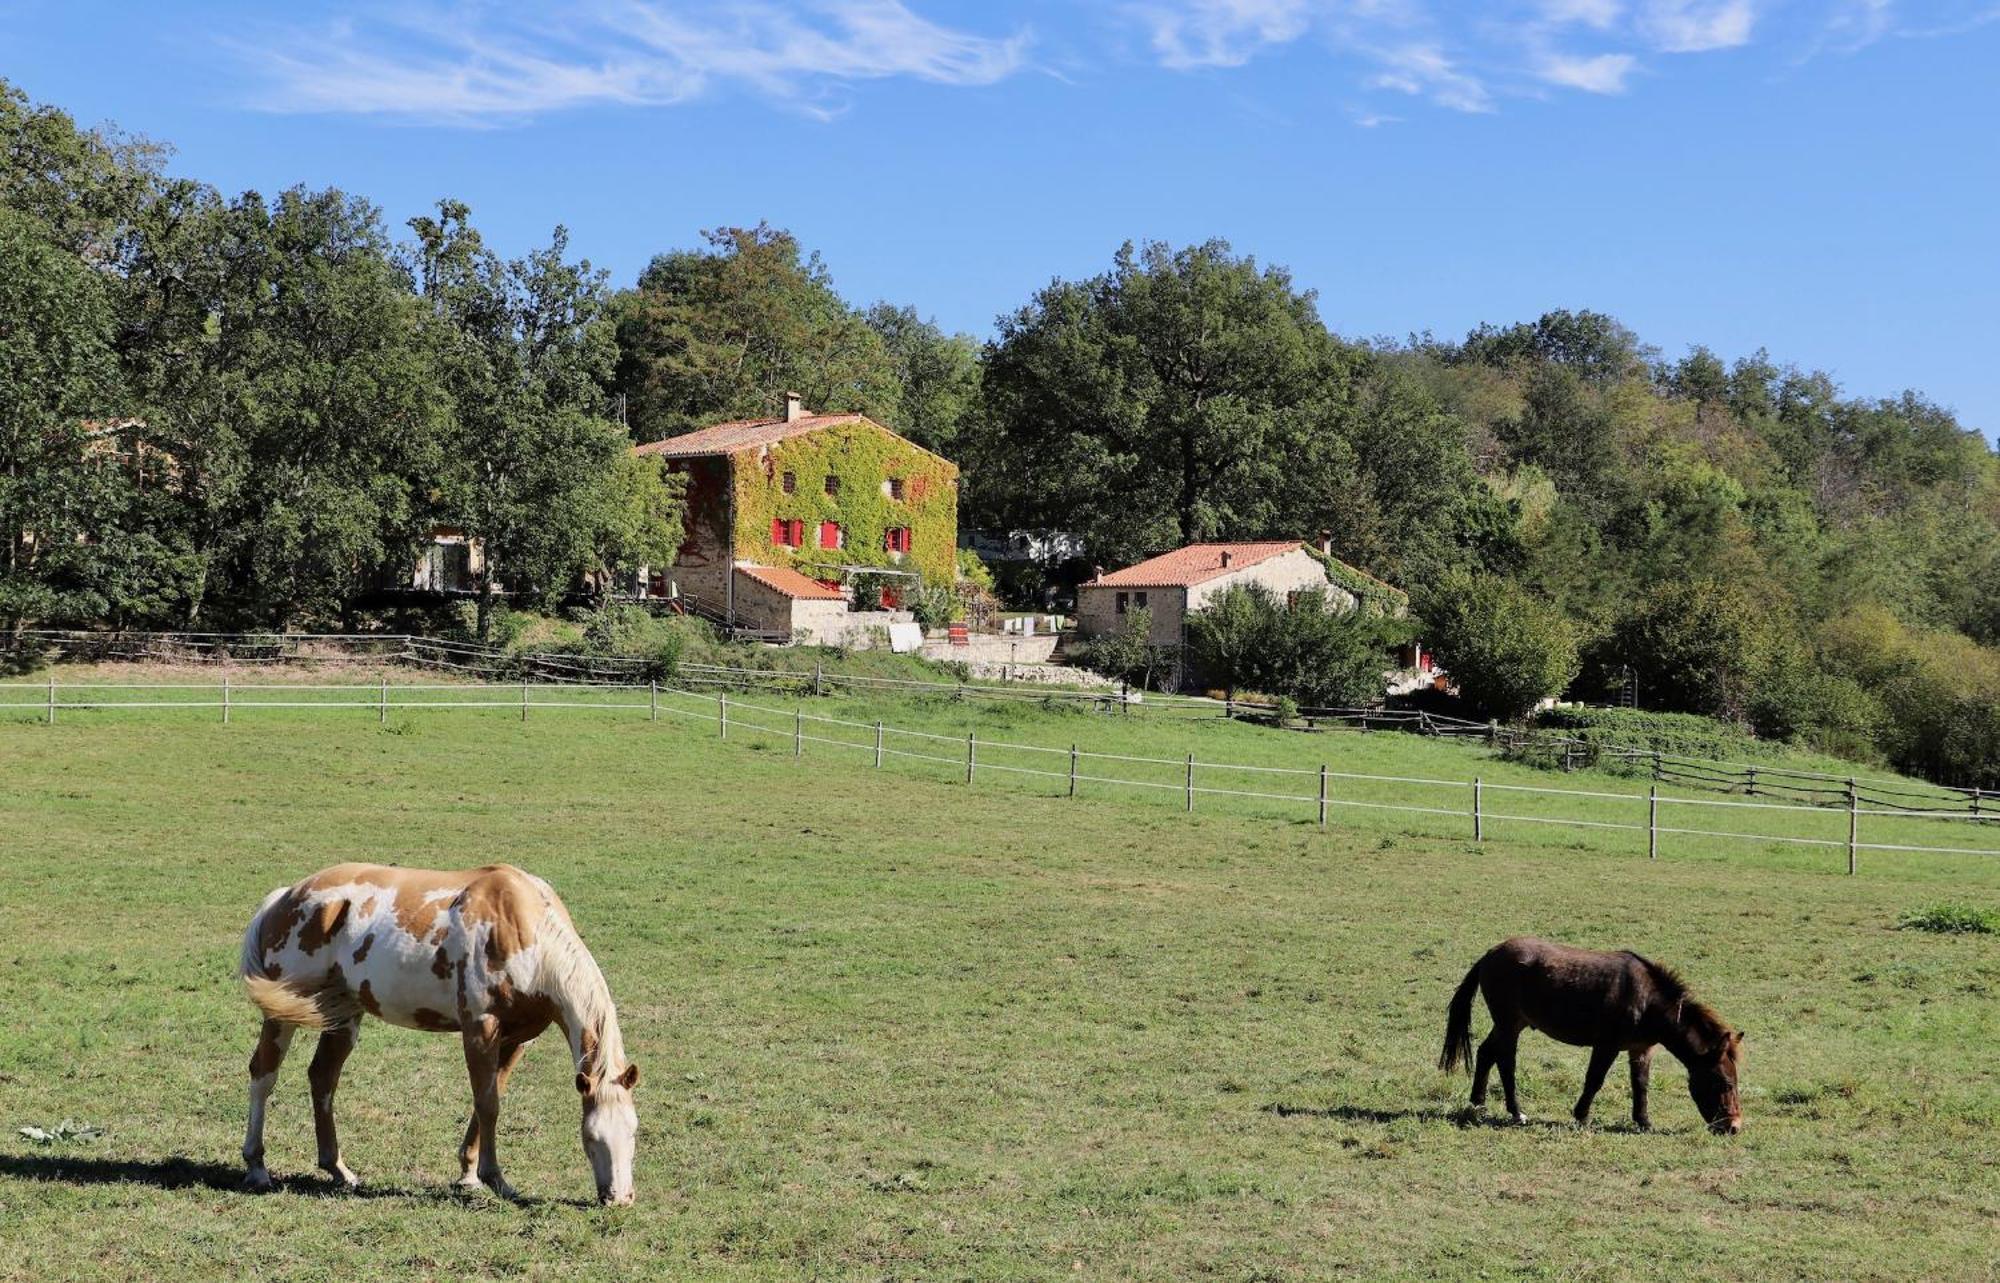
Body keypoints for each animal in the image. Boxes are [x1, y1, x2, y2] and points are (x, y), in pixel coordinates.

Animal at [235, 859, 644, 1199]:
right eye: (590, 1138)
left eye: (634, 1131)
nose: (619, 1199)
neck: (522, 931)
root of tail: (286, 896)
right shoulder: (480, 1028)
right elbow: (487, 1103)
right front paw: (494, 1179)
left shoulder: (517, 1038)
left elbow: (490, 1098)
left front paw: (469, 1173)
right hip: (282, 1012)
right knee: (264, 1073)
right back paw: (257, 1167)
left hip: (343, 1012)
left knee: (323, 1078)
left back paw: (338, 1170)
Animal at [1440, 927, 1752, 1127]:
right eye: (1726, 1083)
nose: (1733, 1127)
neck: (1647, 1001)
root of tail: (1490, 954)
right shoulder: (1606, 1045)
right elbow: (1595, 1080)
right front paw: (1581, 1116)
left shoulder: (1641, 1050)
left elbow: (1641, 1084)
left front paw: (1643, 1122)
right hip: (1508, 1023)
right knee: (1506, 1062)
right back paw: (1516, 1112)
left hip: (1512, 1023)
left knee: (1485, 1052)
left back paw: (1478, 1102)